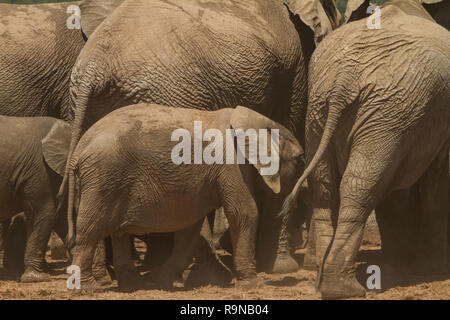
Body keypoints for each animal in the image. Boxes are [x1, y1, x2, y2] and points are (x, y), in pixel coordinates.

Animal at [67, 104, 302, 290]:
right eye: (299, 159)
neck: (257, 120)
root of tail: (79, 148)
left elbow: (190, 228)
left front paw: (161, 280)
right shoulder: (231, 163)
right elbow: (244, 212)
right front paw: (254, 285)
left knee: (118, 232)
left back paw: (135, 285)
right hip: (103, 176)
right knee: (90, 230)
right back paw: (87, 289)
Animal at [280, 0, 448, 300]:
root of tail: (344, 78)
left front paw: (403, 261)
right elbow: (437, 183)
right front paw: (433, 268)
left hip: (325, 109)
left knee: (326, 187)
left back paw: (322, 280)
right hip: (386, 113)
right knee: (360, 186)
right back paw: (344, 288)